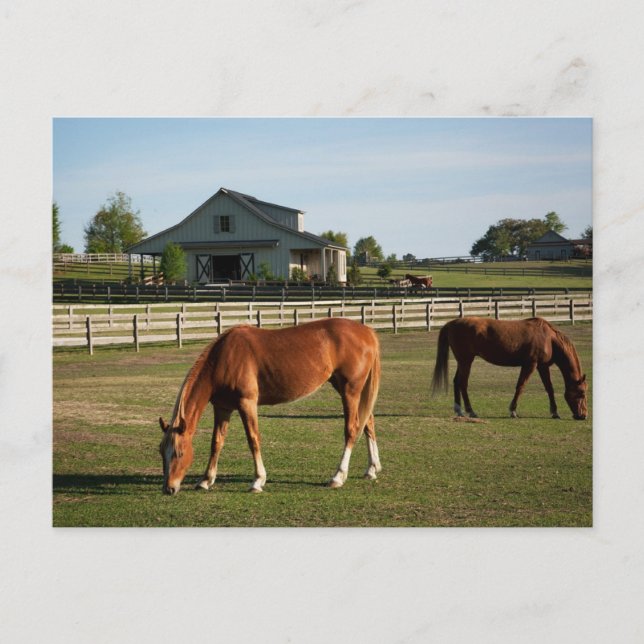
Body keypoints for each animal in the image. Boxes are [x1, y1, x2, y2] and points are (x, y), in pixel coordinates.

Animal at [158, 318, 381, 495]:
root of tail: (367, 332)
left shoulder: (247, 403)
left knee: (352, 429)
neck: (224, 357)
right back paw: (371, 469)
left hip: (350, 391)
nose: (169, 488)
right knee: (368, 422)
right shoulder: (222, 407)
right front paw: (206, 480)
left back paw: (338, 477)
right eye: (161, 452)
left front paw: (258, 481)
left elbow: (253, 439)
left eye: (179, 453)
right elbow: (217, 442)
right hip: (349, 389)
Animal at [431, 316, 588, 420]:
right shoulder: (530, 365)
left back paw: (459, 410)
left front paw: (554, 412)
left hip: (463, 362)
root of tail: (451, 323)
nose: (583, 415)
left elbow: (549, 388)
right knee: (462, 383)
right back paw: (470, 411)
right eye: (581, 393)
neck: (548, 338)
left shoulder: (542, 366)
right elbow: (521, 386)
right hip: (466, 361)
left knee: (457, 381)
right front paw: (513, 411)